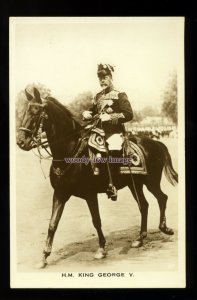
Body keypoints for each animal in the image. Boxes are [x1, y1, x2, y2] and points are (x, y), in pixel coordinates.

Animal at [16, 86, 178, 268]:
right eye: (25, 111)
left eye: (36, 112)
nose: (20, 142)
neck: (70, 151)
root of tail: (156, 143)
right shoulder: (60, 193)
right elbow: (52, 224)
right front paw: (44, 257)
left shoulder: (90, 194)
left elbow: (96, 220)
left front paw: (101, 249)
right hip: (134, 185)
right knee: (144, 205)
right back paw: (140, 238)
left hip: (151, 182)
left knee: (162, 198)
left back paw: (164, 228)